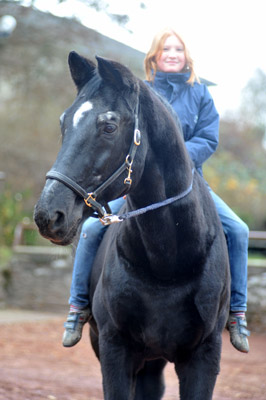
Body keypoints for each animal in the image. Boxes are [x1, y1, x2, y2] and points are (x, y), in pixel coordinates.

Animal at [34, 53, 231, 400]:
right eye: (63, 122)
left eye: (109, 126)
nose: (48, 214)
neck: (168, 265)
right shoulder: (114, 348)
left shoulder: (204, 356)